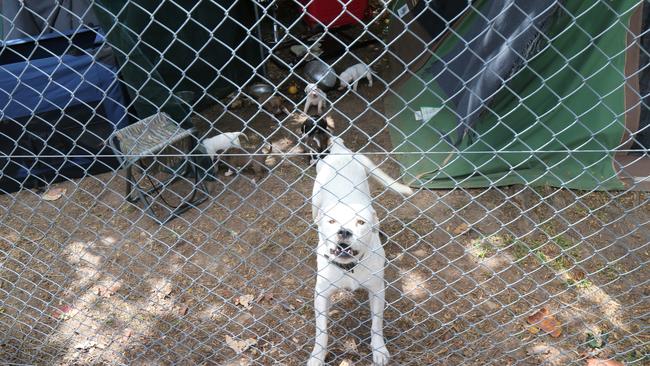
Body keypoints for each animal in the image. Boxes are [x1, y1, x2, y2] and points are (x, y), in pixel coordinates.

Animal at [308, 137, 410, 366]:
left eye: (361, 222)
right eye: (332, 221)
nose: (344, 231)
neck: (350, 267)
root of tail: (340, 150)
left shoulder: (377, 291)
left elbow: (376, 325)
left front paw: (379, 349)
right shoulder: (321, 294)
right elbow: (321, 332)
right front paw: (317, 356)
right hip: (314, 201)